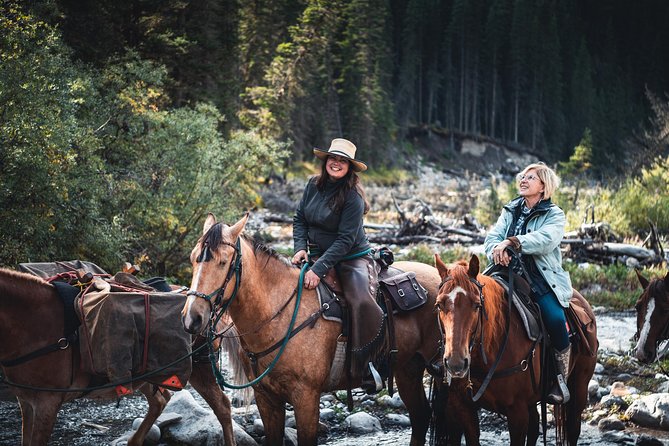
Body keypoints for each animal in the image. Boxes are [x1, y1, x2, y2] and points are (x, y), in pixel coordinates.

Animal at [0, 266, 236, 444]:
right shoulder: (26, 402)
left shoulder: (47, 403)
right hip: (146, 375)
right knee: (160, 400)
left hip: (200, 369)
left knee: (223, 407)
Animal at [180, 213, 446, 446]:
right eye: (193, 258)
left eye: (223, 262)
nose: (192, 318)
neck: (278, 314)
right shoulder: (266, 398)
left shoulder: (306, 397)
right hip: (408, 369)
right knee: (421, 417)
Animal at [436, 254, 596, 446]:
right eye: (439, 305)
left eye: (476, 305)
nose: (456, 363)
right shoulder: (463, 407)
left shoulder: (517, 412)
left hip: (579, 387)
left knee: (573, 428)